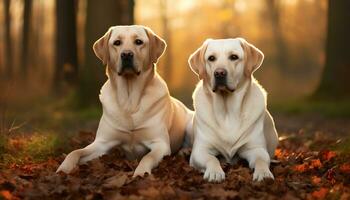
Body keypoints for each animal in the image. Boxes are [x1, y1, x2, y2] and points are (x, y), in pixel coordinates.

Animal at [56, 25, 193, 177]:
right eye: (117, 43)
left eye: (138, 42)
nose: (126, 54)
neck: (129, 101)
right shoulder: (102, 143)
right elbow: (75, 152)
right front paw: (63, 168)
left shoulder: (160, 144)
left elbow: (148, 157)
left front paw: (140, 173)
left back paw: (185, 151)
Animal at [189, 38, 278, 183]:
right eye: (211, 58)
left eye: (234, 57)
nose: (219, 73)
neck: (227, 111)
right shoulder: (200, 150)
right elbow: (211, 159)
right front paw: (214, 172)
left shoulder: (256, 149)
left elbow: (261, 160)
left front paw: (264, 173)